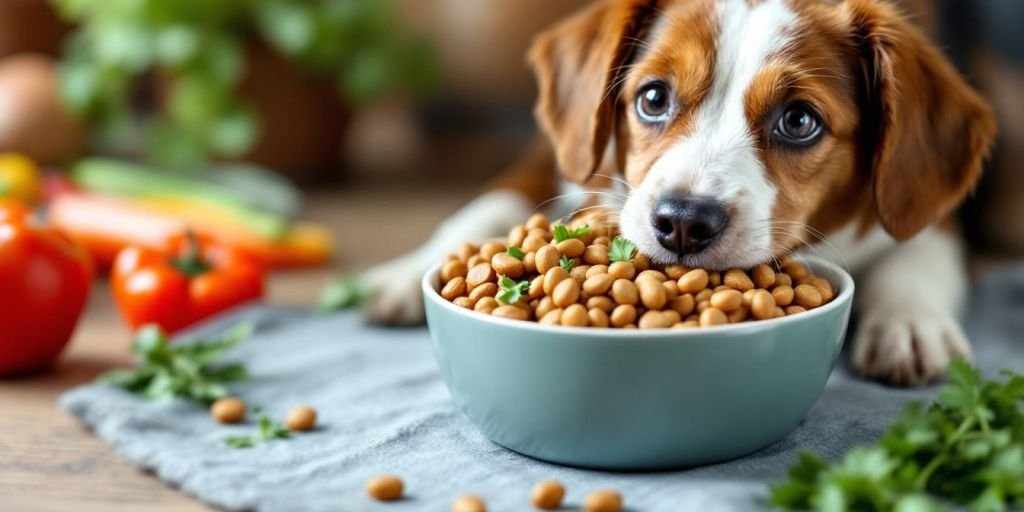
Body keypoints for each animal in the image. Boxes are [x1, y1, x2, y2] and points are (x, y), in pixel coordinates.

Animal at [358, 0, 991, 385]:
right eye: (653, 97)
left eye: (799, 121)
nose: (683, 220)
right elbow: (492, 203)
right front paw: (407, 270)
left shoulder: (930, 211)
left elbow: (917, 256)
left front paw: (910, 323)